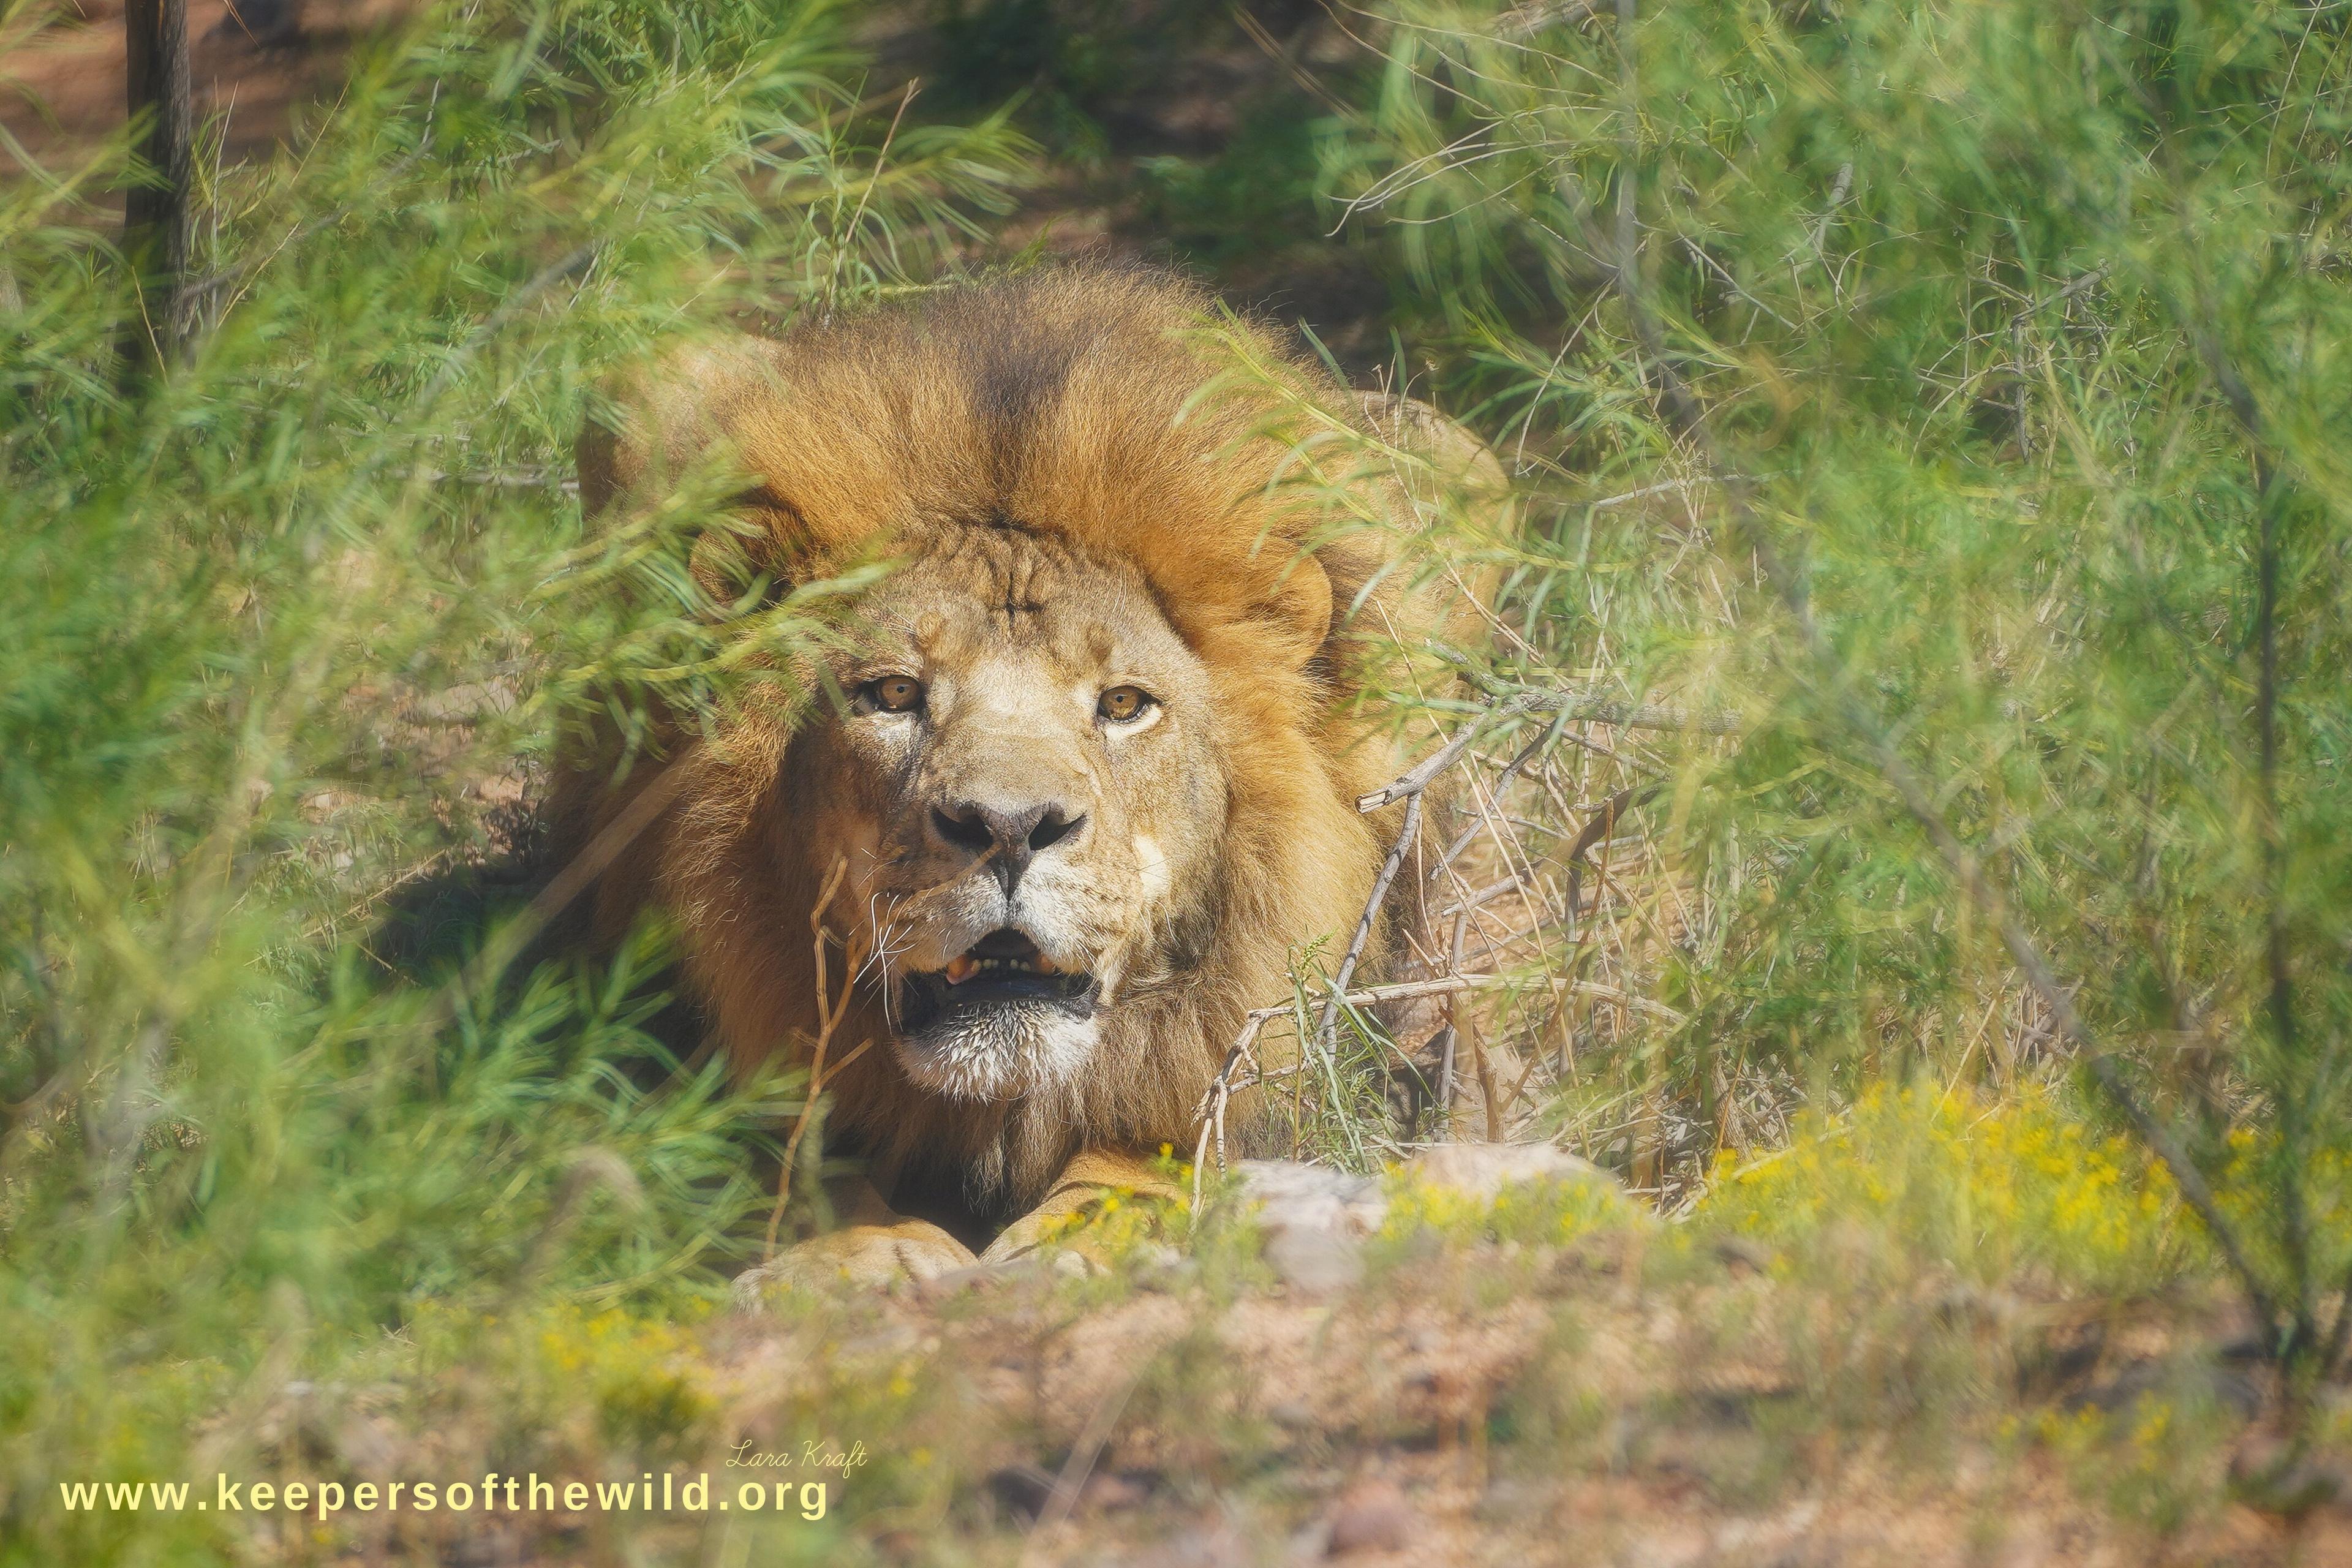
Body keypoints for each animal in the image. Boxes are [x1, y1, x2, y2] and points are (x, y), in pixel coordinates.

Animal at [559, 263, 1496, 1288]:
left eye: (1124, 705)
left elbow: (1146, 1165)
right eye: (893, 693)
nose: (1008, 830)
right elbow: (790, 1170)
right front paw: (871, 1251)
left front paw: (1076, 1241)